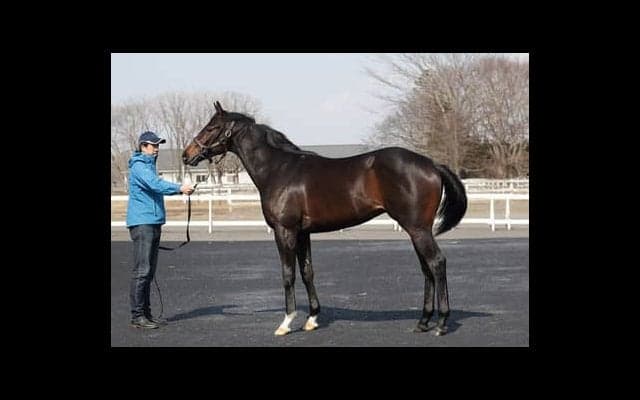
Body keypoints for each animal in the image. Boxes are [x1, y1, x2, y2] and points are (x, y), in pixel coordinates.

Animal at [182, 101, 468, 336]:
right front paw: (311, 319)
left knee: (437, 263)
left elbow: (288, 274)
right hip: (416, 229)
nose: (187, 154)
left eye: (212, 127)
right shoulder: (302, 233)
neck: (279, 169)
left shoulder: (285, 231)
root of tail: (432, 164)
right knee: (426, 268)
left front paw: (286, 322)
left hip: (418, 229)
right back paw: (423, 322)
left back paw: (441, 323)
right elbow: (307, 272)